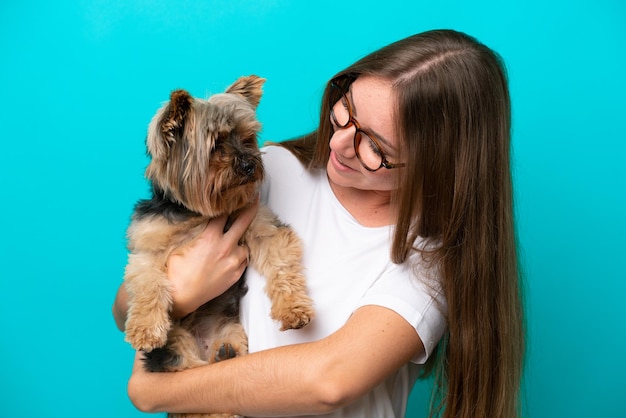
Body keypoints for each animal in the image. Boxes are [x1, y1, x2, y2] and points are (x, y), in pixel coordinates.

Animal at [122, 76, 314, 418]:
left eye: (248, 138)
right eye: (215, 146)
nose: (250, 164)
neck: (198, 214)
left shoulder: (261, 227)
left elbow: (281, 265)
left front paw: (293, 309)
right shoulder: (146, 250)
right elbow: (148, 285)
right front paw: (144, 329)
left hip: (231, 330)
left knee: (218, 375)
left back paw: (225, 355)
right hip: (174, 348)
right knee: (191, 382)